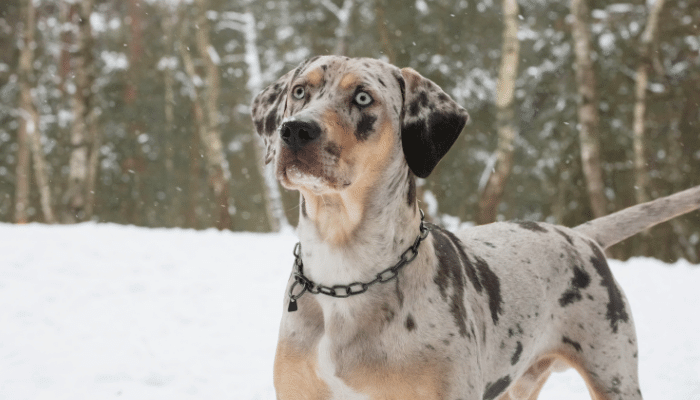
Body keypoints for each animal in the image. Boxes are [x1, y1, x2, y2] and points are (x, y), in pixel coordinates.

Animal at [252, 56, 700, 400]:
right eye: (299, 92)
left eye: (363, 96)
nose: (295, 129)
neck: (345, 271)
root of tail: (581, 235)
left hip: (613, 372)